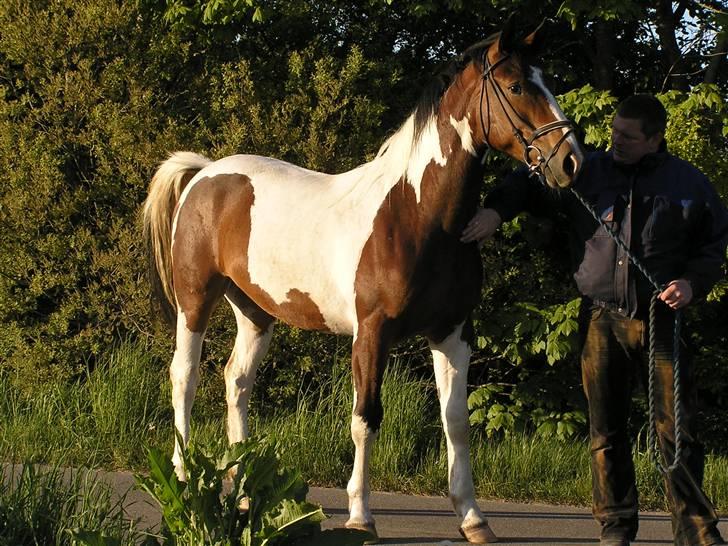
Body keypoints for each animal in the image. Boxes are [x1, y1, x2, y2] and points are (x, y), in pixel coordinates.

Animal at [142, 19, 584, 540]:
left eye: (546, 81)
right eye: (516, 86)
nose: (570, 162)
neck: (416, 214)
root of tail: (206, 173)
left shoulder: (453, 333)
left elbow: (455, 421)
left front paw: (473, 518)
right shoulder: (372, 333)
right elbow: (365, 419)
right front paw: (360, 516)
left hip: (254, 311)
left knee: (237, 381)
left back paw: (247, 492)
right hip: (195, 300)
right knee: (184, 376)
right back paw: (184, 478)